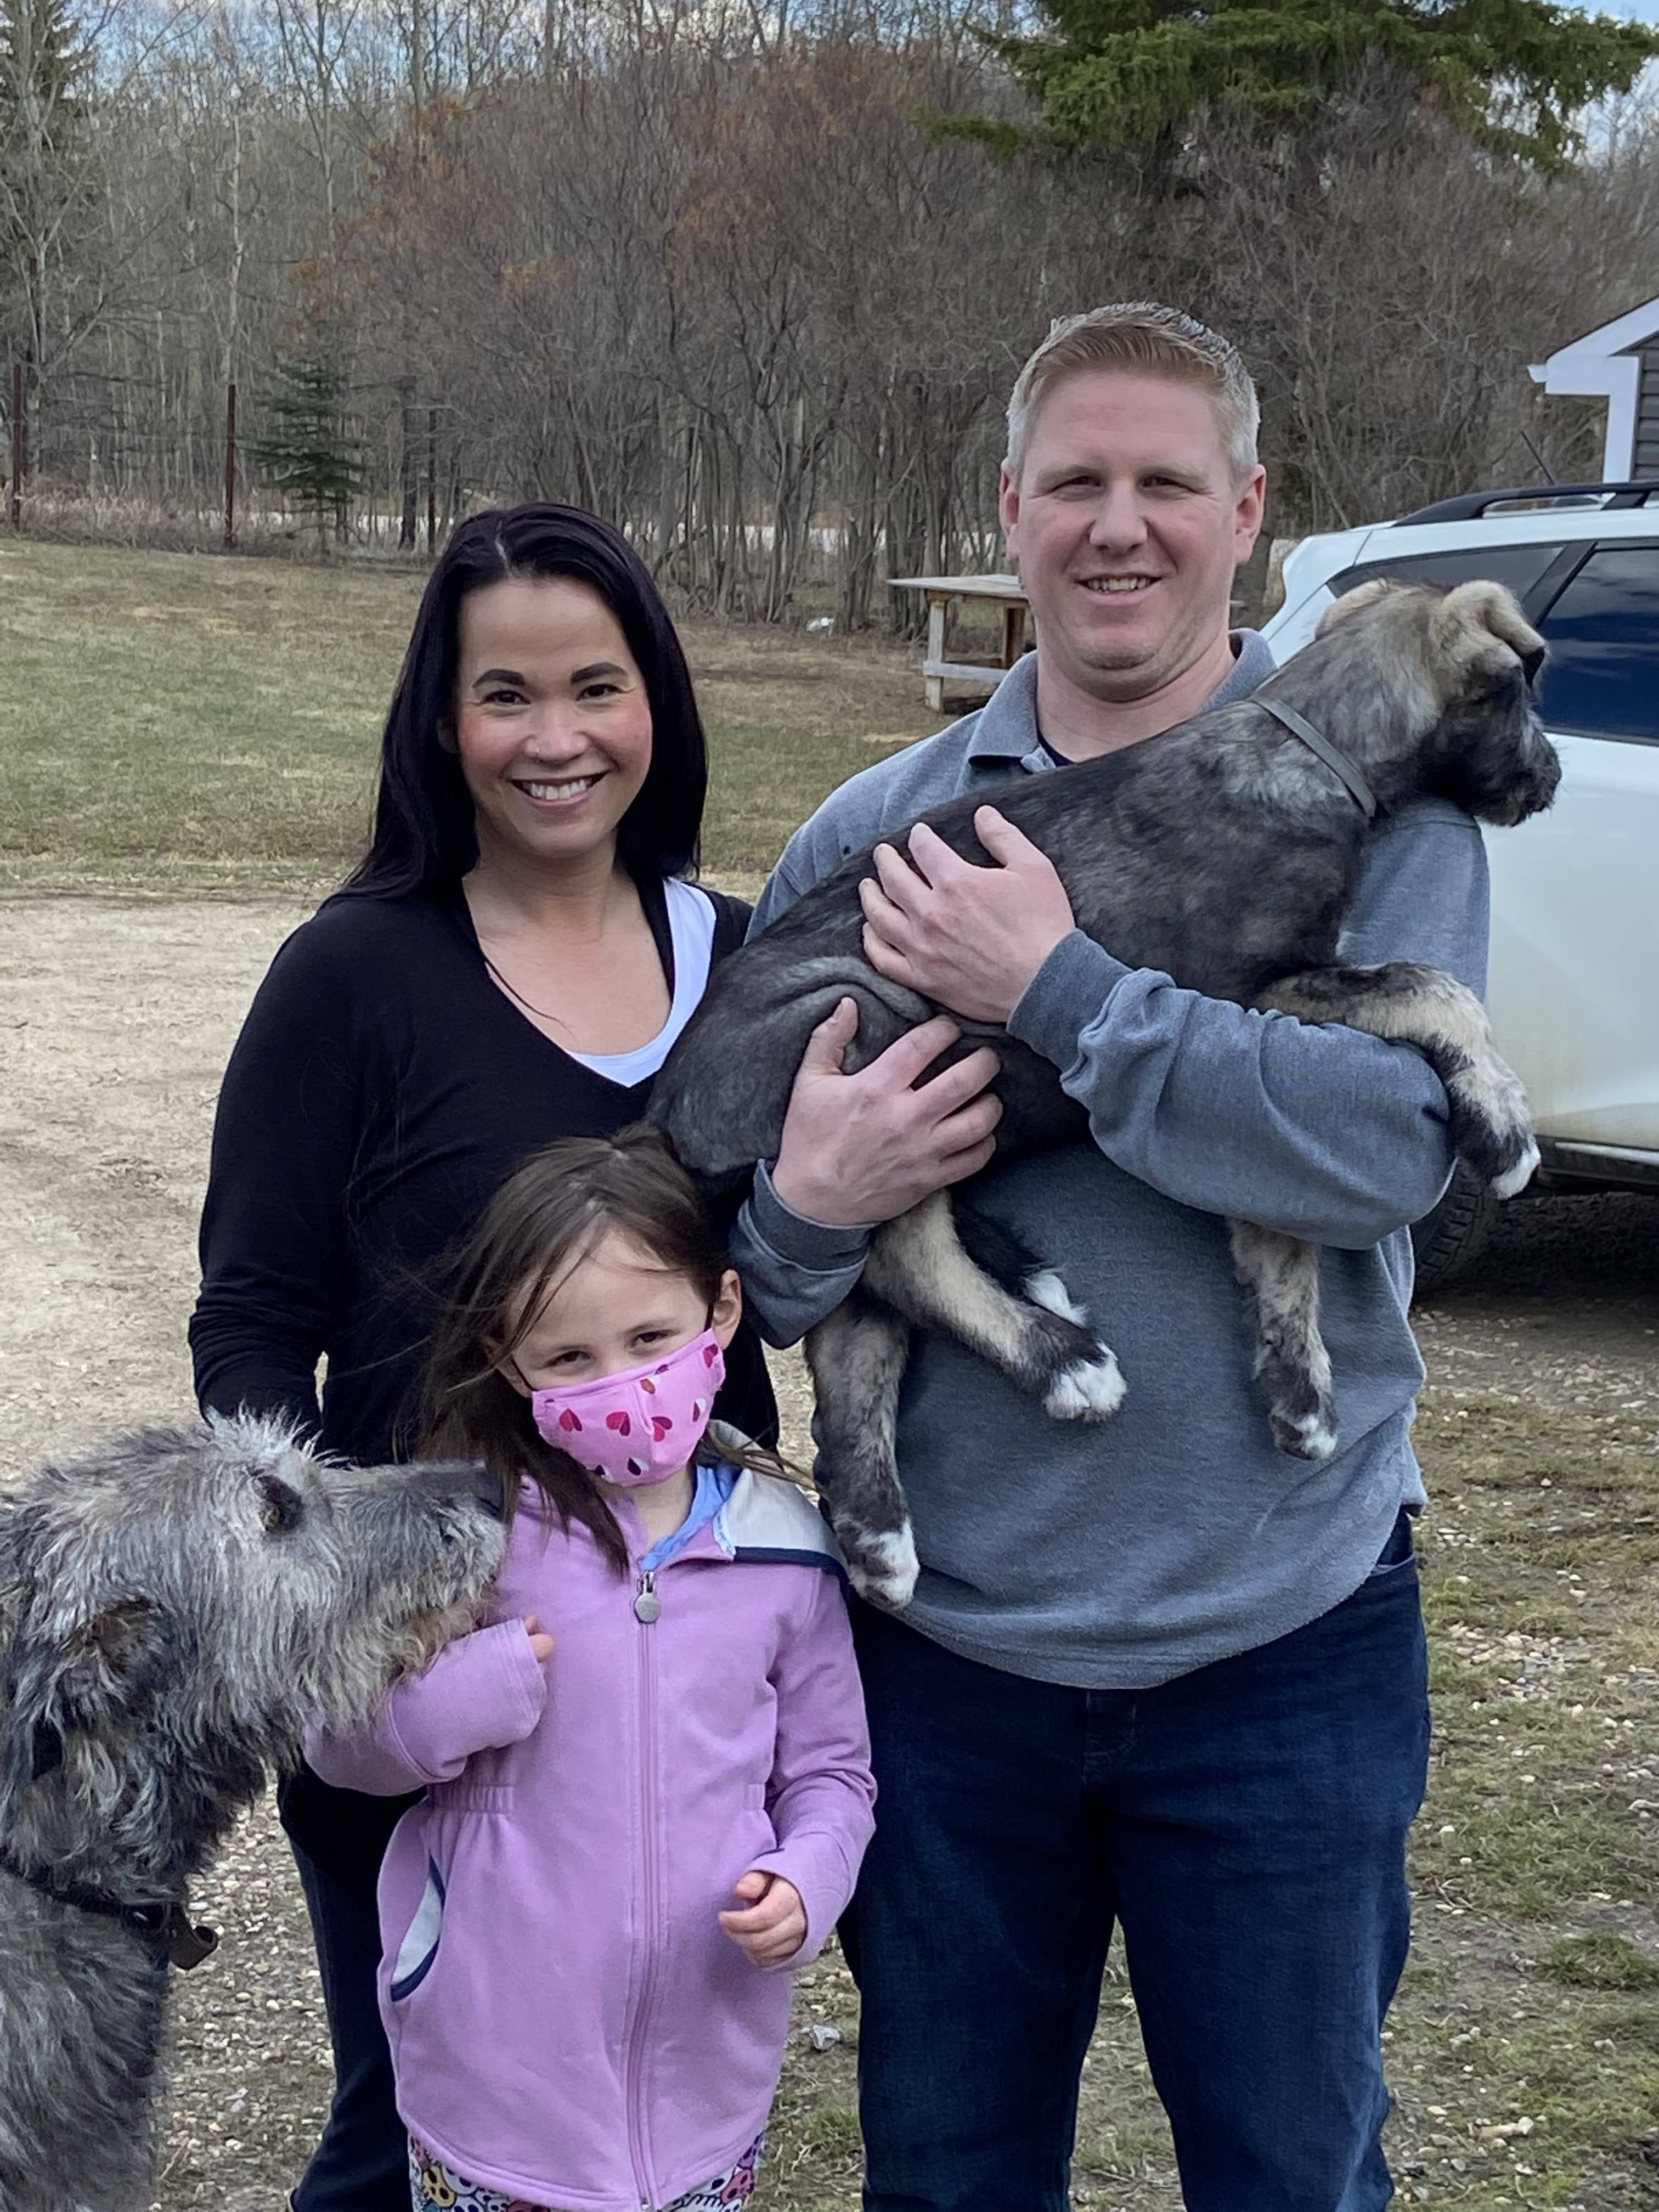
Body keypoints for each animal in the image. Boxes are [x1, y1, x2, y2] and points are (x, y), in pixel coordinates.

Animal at [650, 578, 1561, 1606]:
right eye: (1524, 696)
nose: (1551, 777)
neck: (1311, 742)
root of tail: (669, 1110)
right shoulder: (1255, 987)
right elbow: (1430, 985)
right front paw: (1504, 1130)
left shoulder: (1260, 1066)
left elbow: (1279, 1235)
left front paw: (1296, 1392)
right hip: (866, 1039)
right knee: (905, 1260)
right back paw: (1065, 1364)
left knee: (857, 1328)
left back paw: (880, 1531)